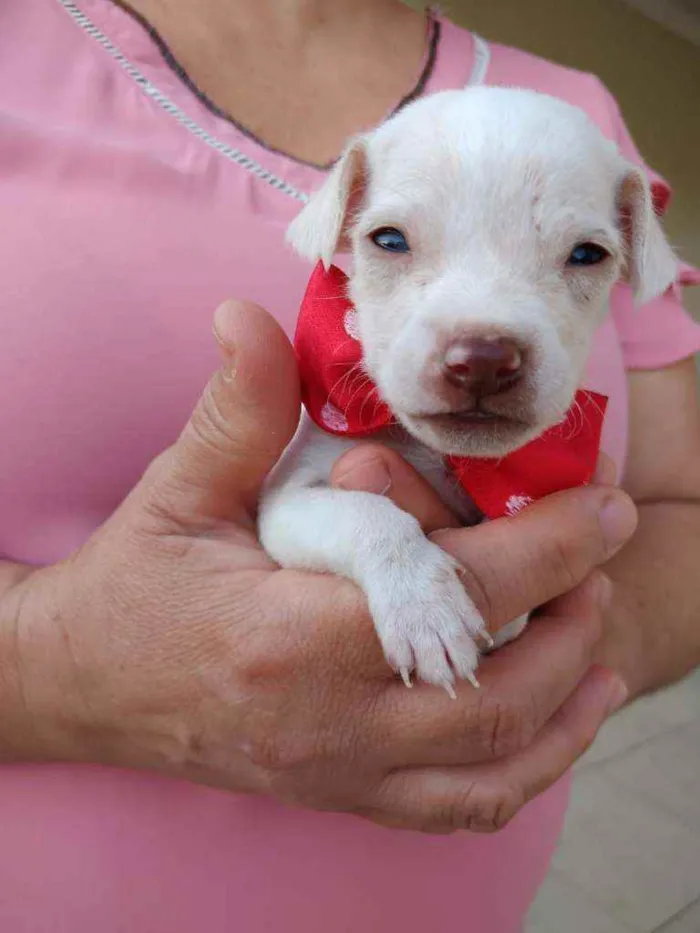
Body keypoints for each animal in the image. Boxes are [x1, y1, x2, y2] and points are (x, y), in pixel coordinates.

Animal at [258, 87, 680, 696]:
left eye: (587, 255)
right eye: (389, 240)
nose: (483, 360)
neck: (450, 457)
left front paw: (505, 615)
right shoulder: (286, 502)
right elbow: (367, 515)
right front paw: (424, 609)